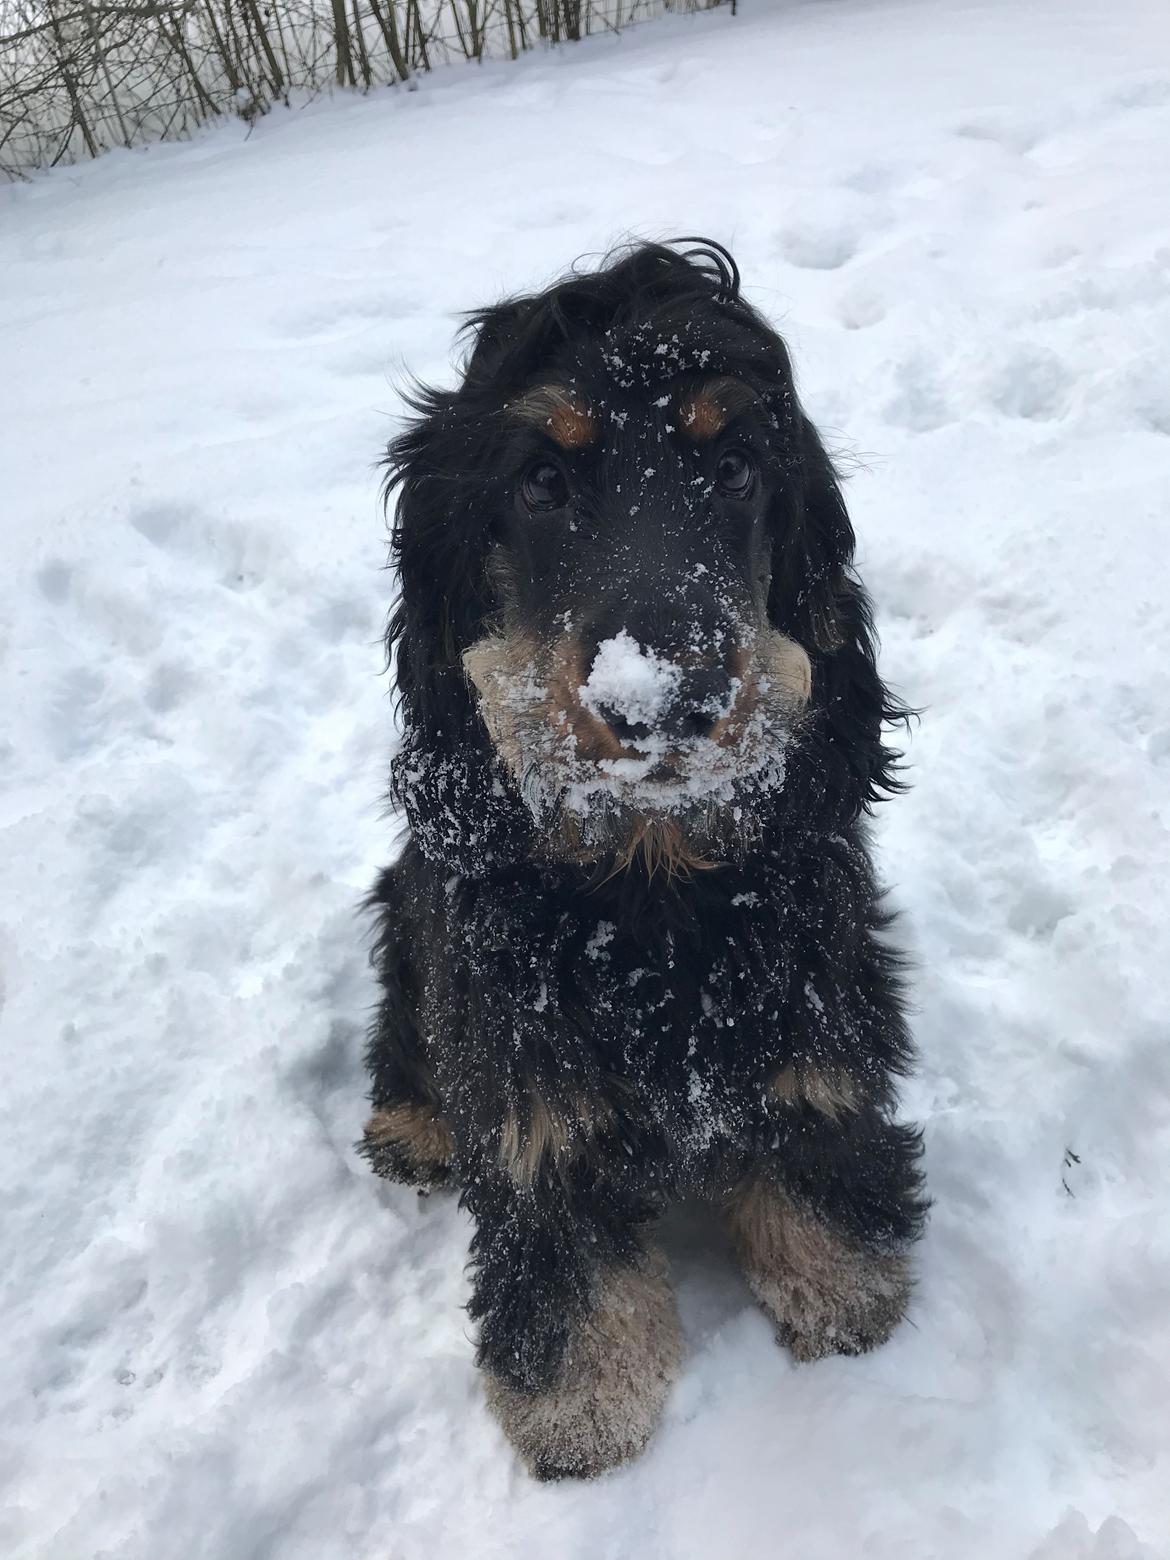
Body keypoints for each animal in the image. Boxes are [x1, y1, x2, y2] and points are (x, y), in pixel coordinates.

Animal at [361, 237, 929, 1478]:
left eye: (737, 470)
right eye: (539, 482)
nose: (667, 700)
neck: (651, 883)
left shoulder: (821, 1010)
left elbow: (818, 1154)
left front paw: (844, 1297)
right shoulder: (527, 1098)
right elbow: (564, 1258)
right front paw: (581, 1410)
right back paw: (411, 1127)